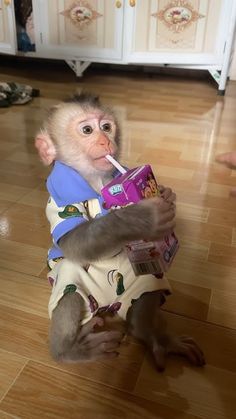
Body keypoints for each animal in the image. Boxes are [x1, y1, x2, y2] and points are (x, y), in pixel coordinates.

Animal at [35, 92, 205, 370]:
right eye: (87, 130)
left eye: (106, 127)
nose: (105, 141)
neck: (96, 180)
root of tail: (107, 305)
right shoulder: (59, 200)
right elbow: (73, 242)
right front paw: (141, 217)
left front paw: (167, 196)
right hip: (70, 285)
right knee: (69, 285)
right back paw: (69, 350)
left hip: (137, 277)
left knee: (151, 282)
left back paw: (152, 335)